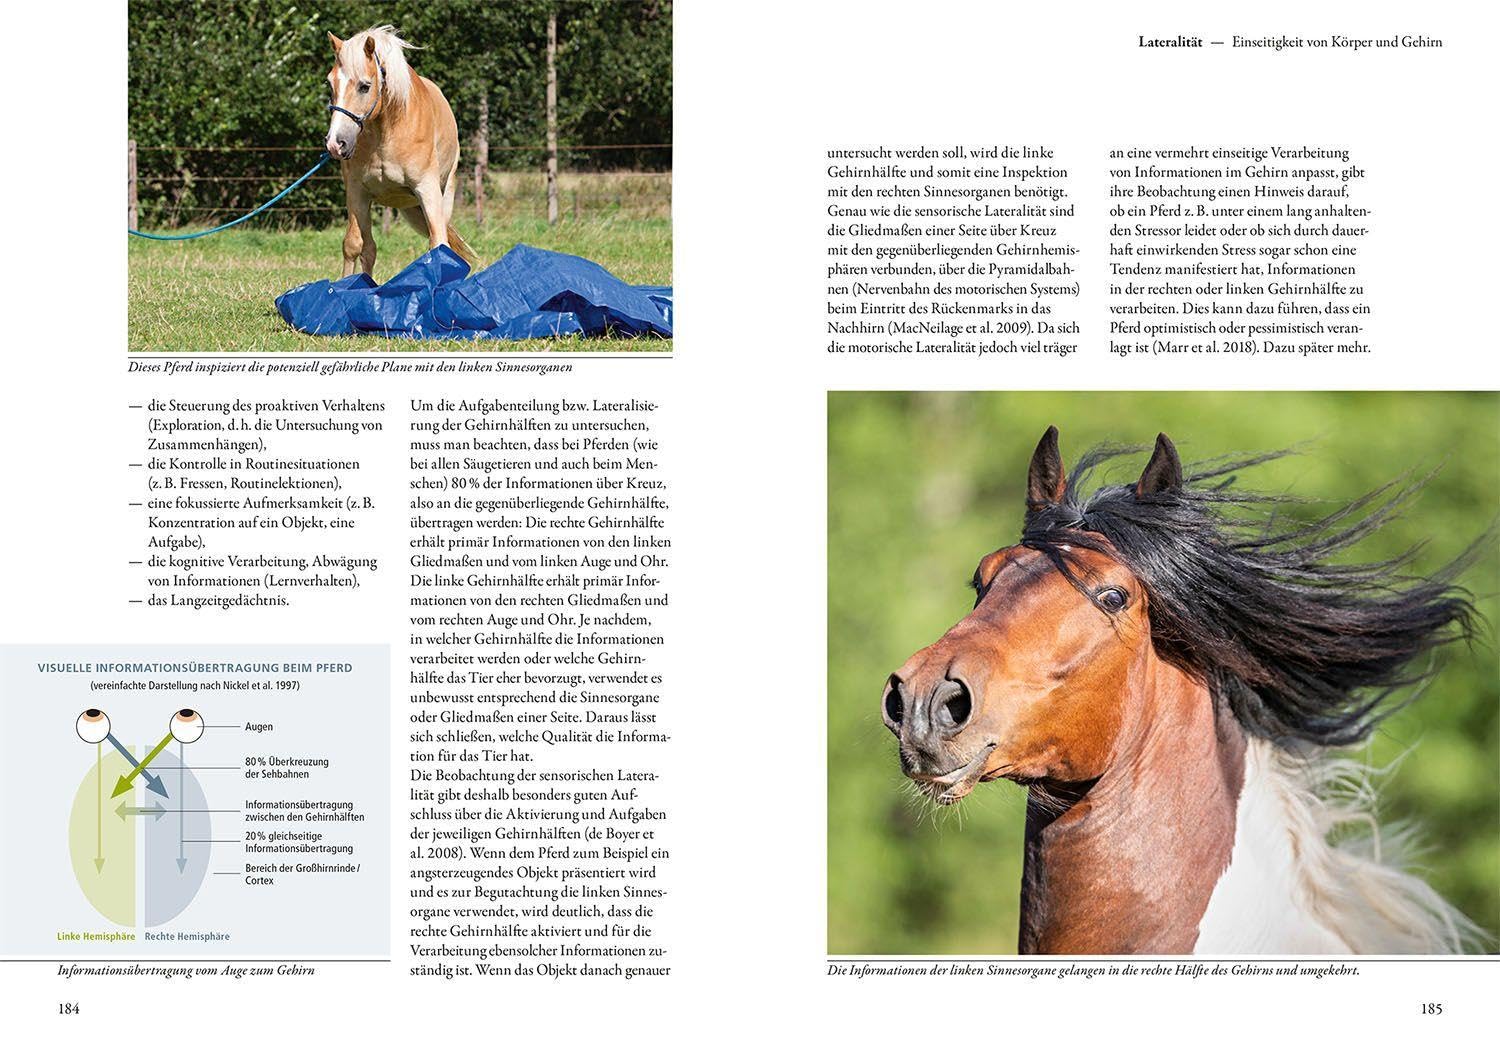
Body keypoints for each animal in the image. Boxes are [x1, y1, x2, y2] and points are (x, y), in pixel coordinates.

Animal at [323, 26, 479, 277]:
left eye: (364, 86)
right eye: (330, 85)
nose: (336, 143)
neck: (387, 133)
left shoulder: (426, 188)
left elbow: (439, 243)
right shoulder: (357, 192)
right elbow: (354, 245)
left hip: (443, 195)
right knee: (369, 248)